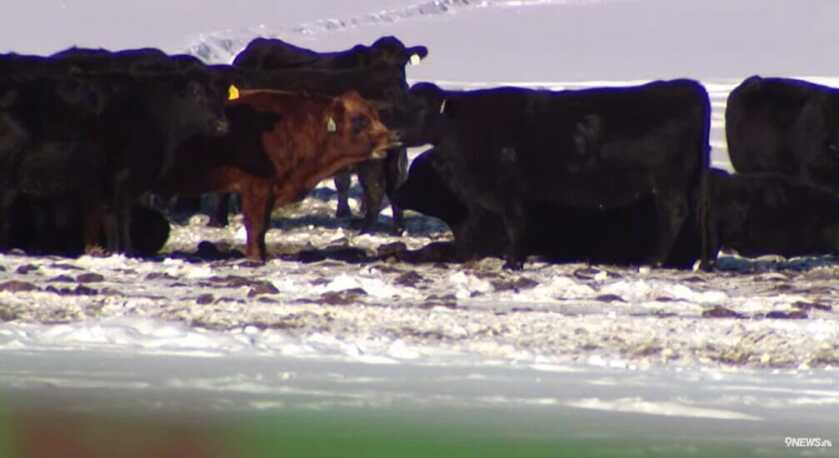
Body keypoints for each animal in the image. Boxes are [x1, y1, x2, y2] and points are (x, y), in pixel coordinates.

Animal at [155, 89, 400, 261]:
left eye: (376, 115)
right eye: (360, 119)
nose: (394, 136)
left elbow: (263, 226)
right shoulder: (256, 188)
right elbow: (255, 224)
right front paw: (255, 257)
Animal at [405, 80, 713, 270]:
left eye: (421, 108)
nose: (396, 132)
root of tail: (687, 87)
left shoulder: (506, 192)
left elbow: (515, 223)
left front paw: (513, 262)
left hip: (668, 183)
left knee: (674, 215)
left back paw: (651, 261)